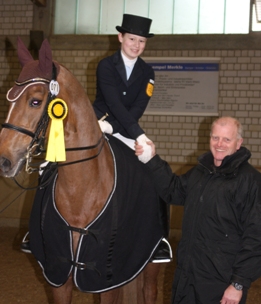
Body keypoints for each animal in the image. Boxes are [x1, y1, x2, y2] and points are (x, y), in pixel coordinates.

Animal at [0, 38, 164, 304]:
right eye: (9, 100)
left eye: (35, 101)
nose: (4, 160)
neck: (81, 188)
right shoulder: (57, 276)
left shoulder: (108, 282)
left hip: (151, 262)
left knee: (149, 291)